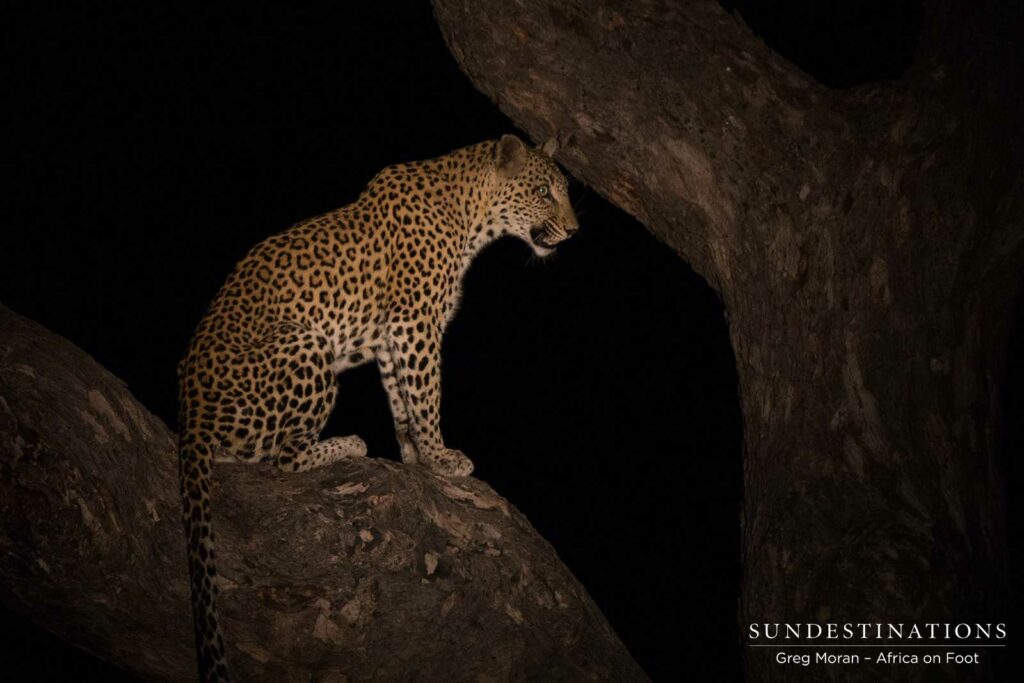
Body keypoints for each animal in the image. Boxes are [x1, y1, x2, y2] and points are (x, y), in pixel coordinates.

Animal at [177, 134, 579, 681]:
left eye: (562, 190)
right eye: (542, 191)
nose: (575, 230)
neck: (471, 213)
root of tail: (190, 409)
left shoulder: (393, 336)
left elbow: (403, 401)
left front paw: (414, 458)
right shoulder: (415, 323)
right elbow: (427, 395)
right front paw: (442, 458)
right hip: (308, 344)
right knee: (280, 457)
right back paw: (348, 443)